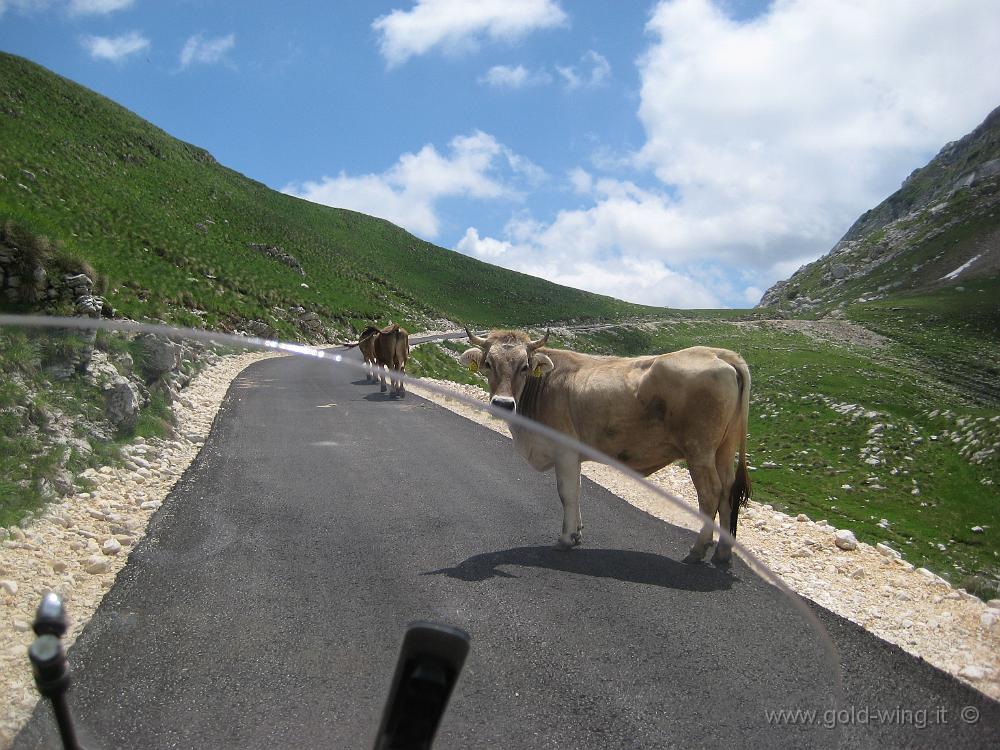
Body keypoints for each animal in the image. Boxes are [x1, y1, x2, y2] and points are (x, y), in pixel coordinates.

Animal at [460, 328, 752, 564]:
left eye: (524, 366)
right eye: (488, 363)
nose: (503, 404)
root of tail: (717, 353)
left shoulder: (564, 450)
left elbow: (567, 493)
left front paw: (565, 539)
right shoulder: (573, 455)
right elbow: (577, 490)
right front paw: (577, 534)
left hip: (699, 451)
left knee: (710, 494)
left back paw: (697, 550)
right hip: (724, 450)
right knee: (727, 491)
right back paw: (722, 553)